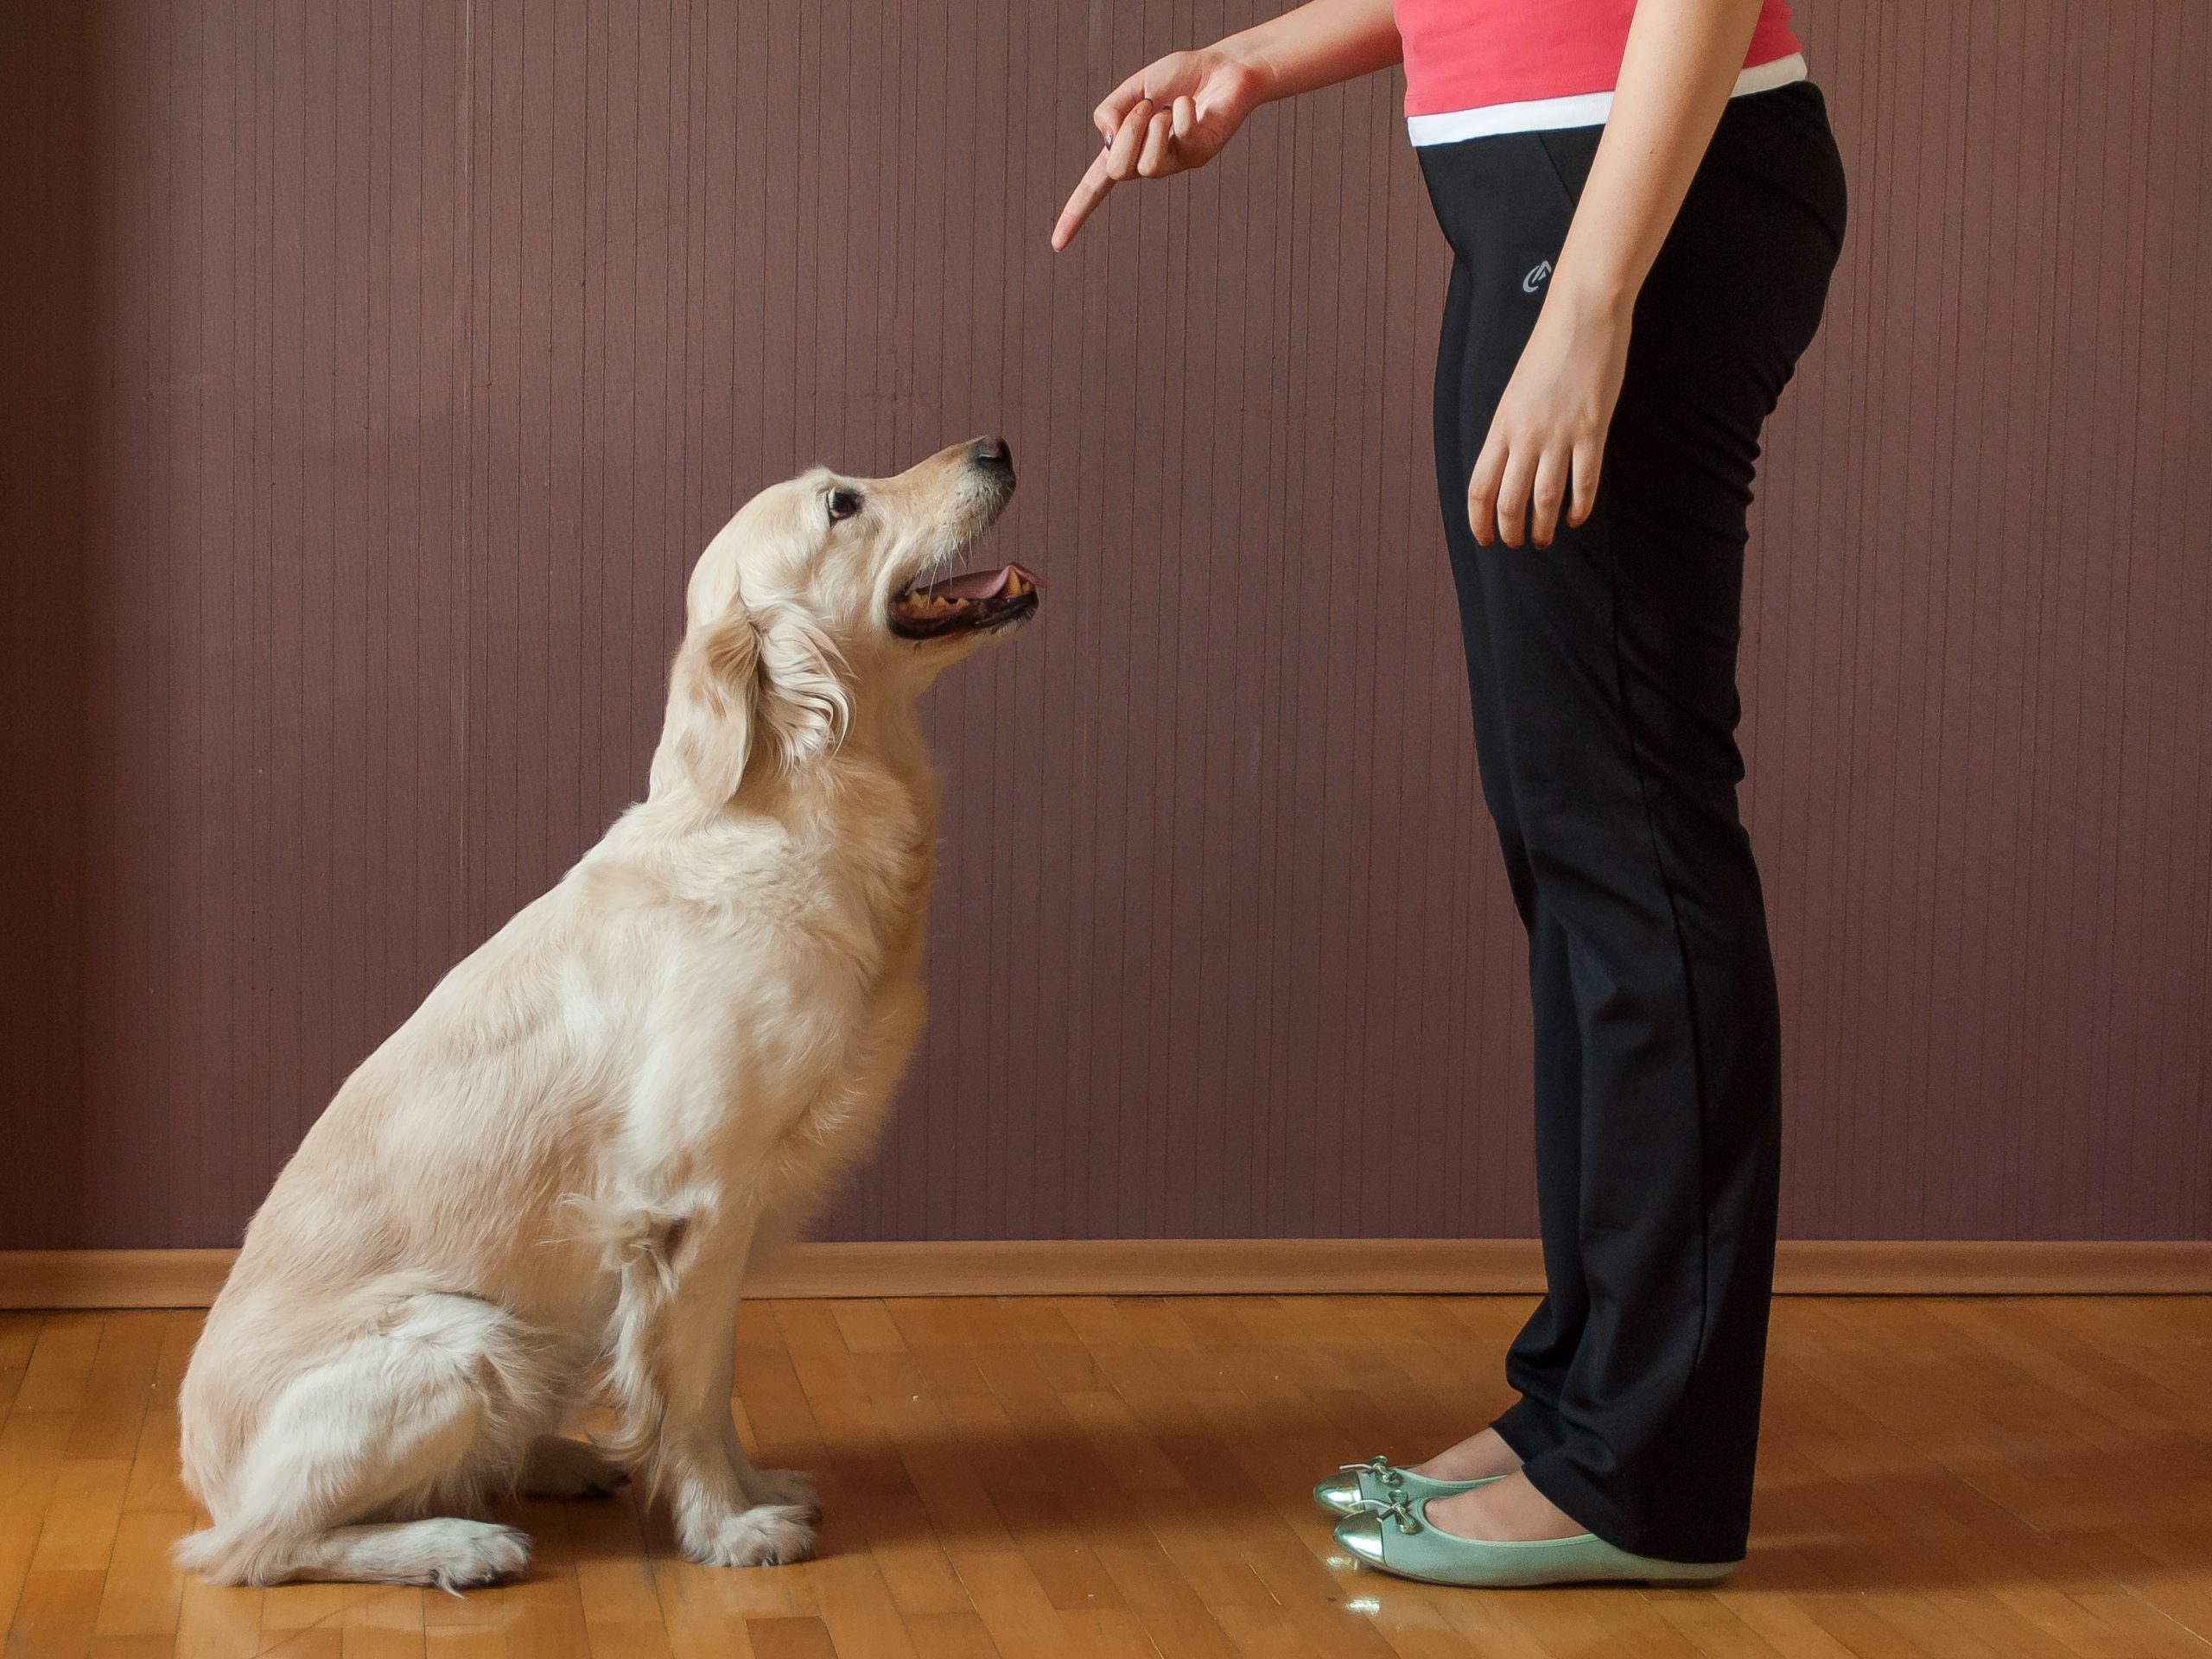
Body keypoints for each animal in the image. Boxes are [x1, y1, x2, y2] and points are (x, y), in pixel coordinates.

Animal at [175, 435, 1035, 1592]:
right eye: (841, 505)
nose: (994, 445)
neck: (798, 802)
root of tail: (203, 1469)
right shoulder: (690, 1204)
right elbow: (691, 1392)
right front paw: (726, 1528)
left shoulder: (725, 1216)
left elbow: (710, 1384)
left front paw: (754, 1489)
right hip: (464, 1345)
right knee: (258, 1547)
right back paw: (458, 1542)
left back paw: (555, 1460)